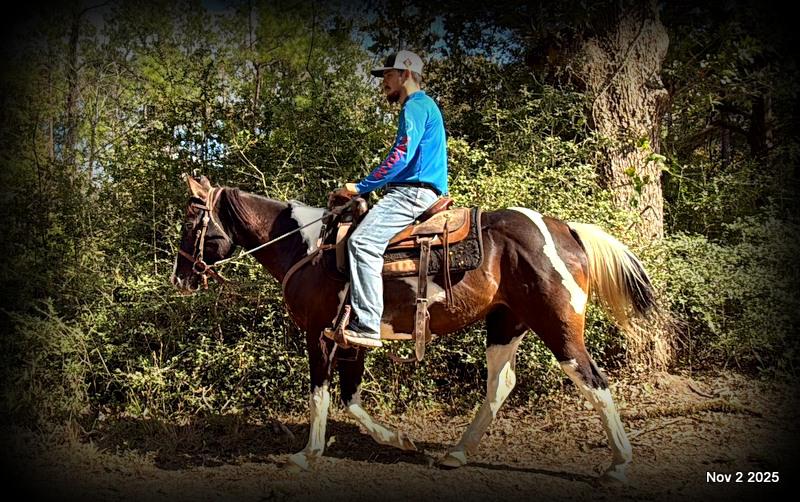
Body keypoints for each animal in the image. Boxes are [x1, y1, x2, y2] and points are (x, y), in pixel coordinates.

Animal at [171, 174, 657, 482]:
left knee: (594, 381)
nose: (180, 277)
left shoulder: (319, 336)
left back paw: (619, 465)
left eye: (191, 222)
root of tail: (566, 230)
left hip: (558, 327)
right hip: (505, 324)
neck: (307, 250)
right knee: (500, 384)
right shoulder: (351, 341)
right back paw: (457, 453)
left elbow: (321, 395)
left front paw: (308, 454)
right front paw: (398, 439)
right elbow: (351, 399)